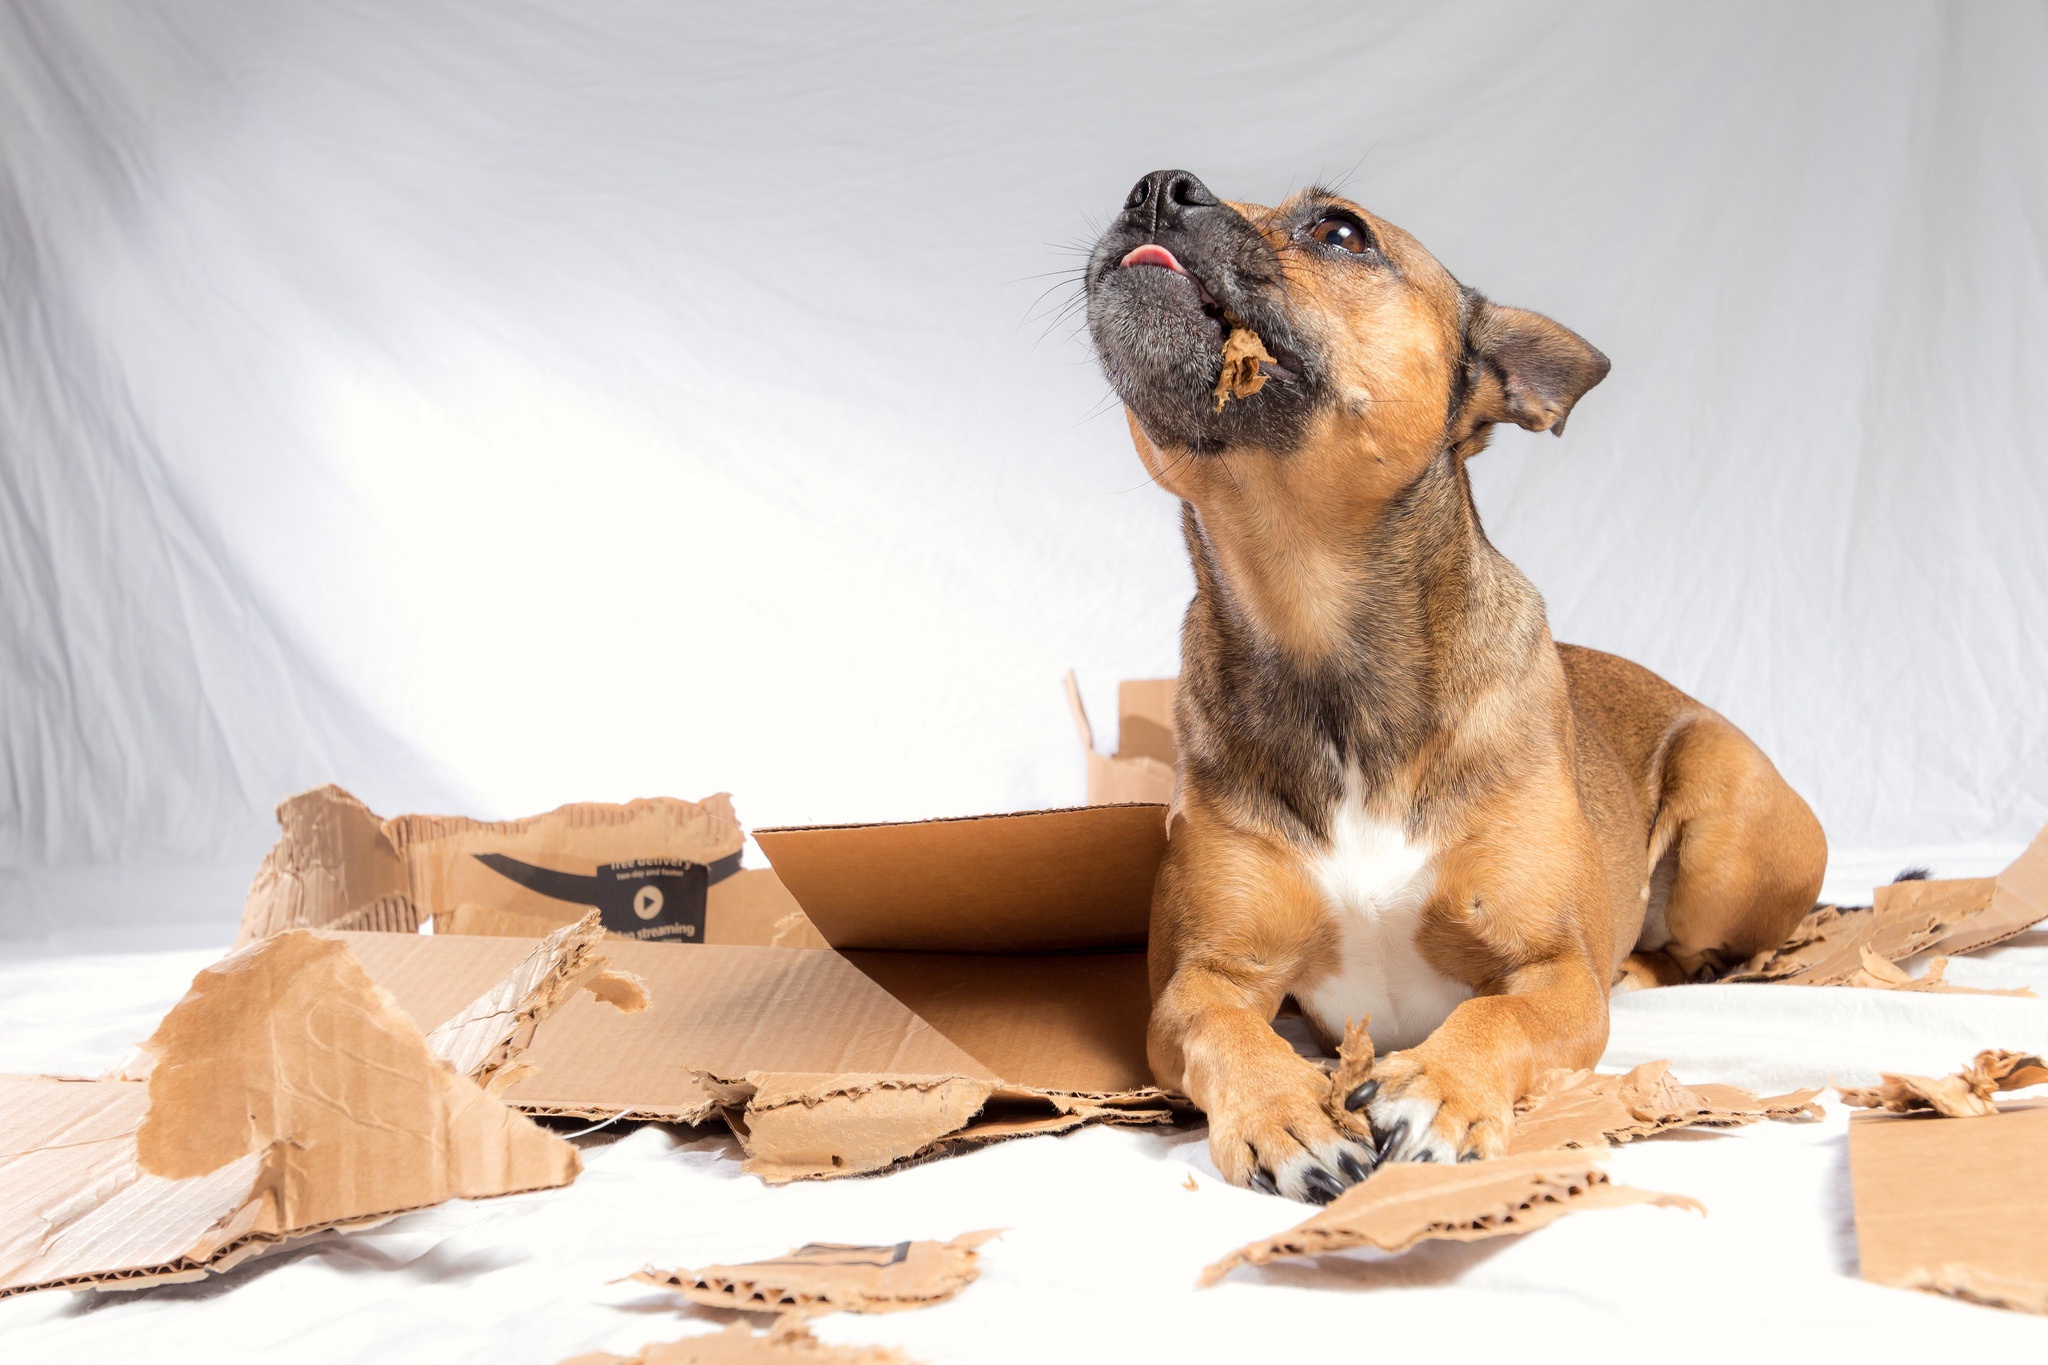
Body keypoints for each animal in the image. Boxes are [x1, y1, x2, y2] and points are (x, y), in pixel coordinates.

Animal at [1081, 170, 1835, 1203]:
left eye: (1341, 232)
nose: (1157, 187)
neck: (1312, 615)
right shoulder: (1202, 976)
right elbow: (1223, 1029)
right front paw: (1284, 1111)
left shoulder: (1550, 972)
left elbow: (1499, 1016)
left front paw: (1438, 1088)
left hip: (1724, 820)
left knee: (1702, 953)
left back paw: (1643, 970)